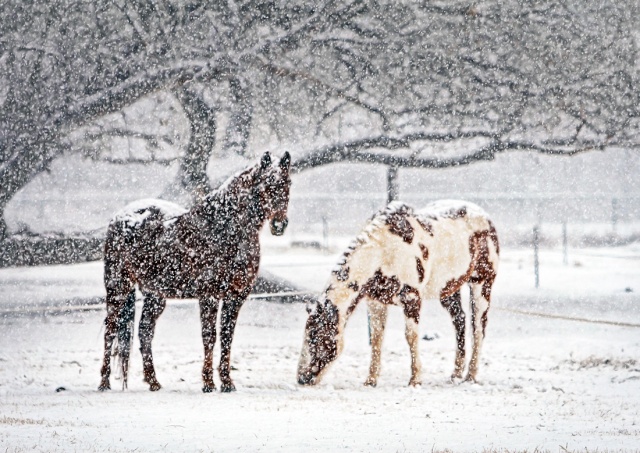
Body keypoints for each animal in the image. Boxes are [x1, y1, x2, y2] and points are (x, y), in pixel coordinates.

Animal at [99, 152, 292, 392]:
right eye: (265, 185)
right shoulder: (209, 295)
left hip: (155, 296)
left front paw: (227, 382)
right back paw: (104, 382)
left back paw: (154, 382)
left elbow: (227, 336)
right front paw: (208, 382)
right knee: (111, 329)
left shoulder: (236, 296)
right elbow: (209, 336)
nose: (279, 224)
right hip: (118, 287)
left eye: (287, 183)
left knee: (145, 332)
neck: (225, 228)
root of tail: (120, 217)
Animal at [298, 200, 498, 386]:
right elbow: (376, 338)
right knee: (460, 321)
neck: (383, 251)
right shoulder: (376, 302)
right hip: (448, 290)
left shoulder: (411, 299)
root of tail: (485, 217)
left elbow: (411, 337)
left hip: (482, 284)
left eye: (316, 337)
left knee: (478, 327)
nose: (302, 378)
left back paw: (471, 376)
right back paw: (455, 374)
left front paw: (415, 380)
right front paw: (371, 380)